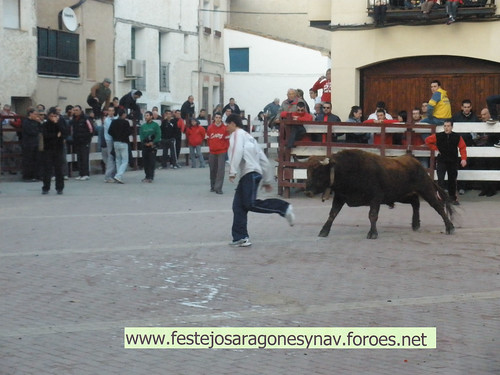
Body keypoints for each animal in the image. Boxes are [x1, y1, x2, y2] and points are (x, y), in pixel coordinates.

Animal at [302, 149, 456, 239]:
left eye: (318, 172)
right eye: (307, 171)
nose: (307, 191)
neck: (347, 169)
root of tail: (415, 161)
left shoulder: (376, 198)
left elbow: (372, 215)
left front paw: (372, 233)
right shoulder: (340, 197)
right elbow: (332, 214)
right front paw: (324, 231)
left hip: (426, 189)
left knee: (438, 206)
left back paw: (450, 227)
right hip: (401, 195)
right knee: (415, 202)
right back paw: (415, 224)